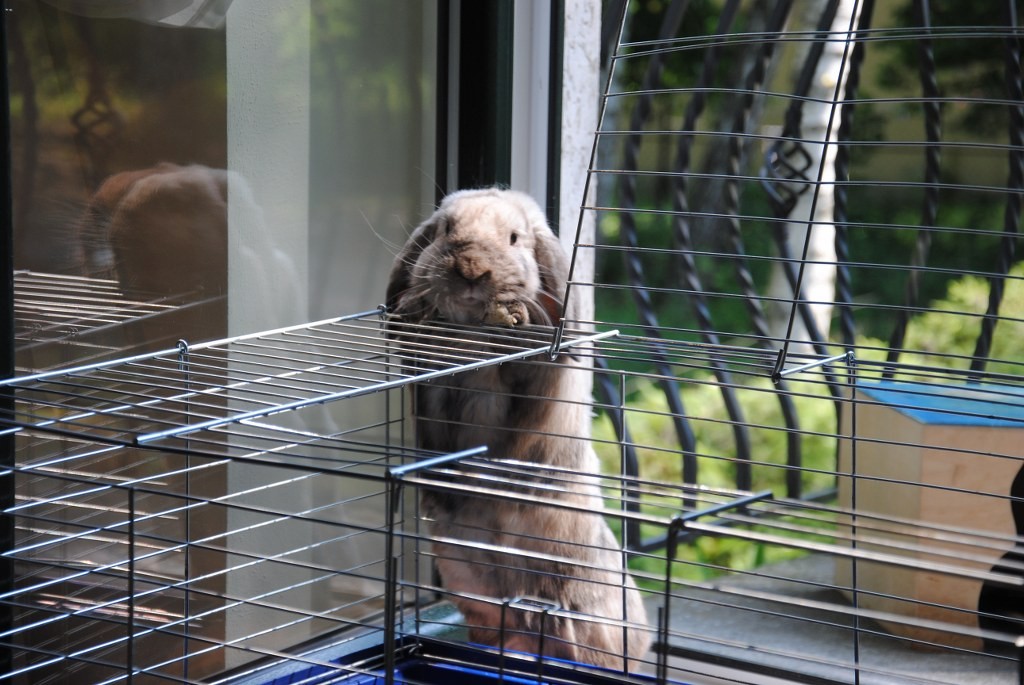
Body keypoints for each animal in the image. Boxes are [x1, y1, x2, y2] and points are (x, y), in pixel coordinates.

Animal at [385, 187, 647, 667]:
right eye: (446, 229)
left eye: (514, 238)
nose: (471, 268)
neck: (470, 334)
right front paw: (414, 311)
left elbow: (521, 362)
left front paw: (513, 318)